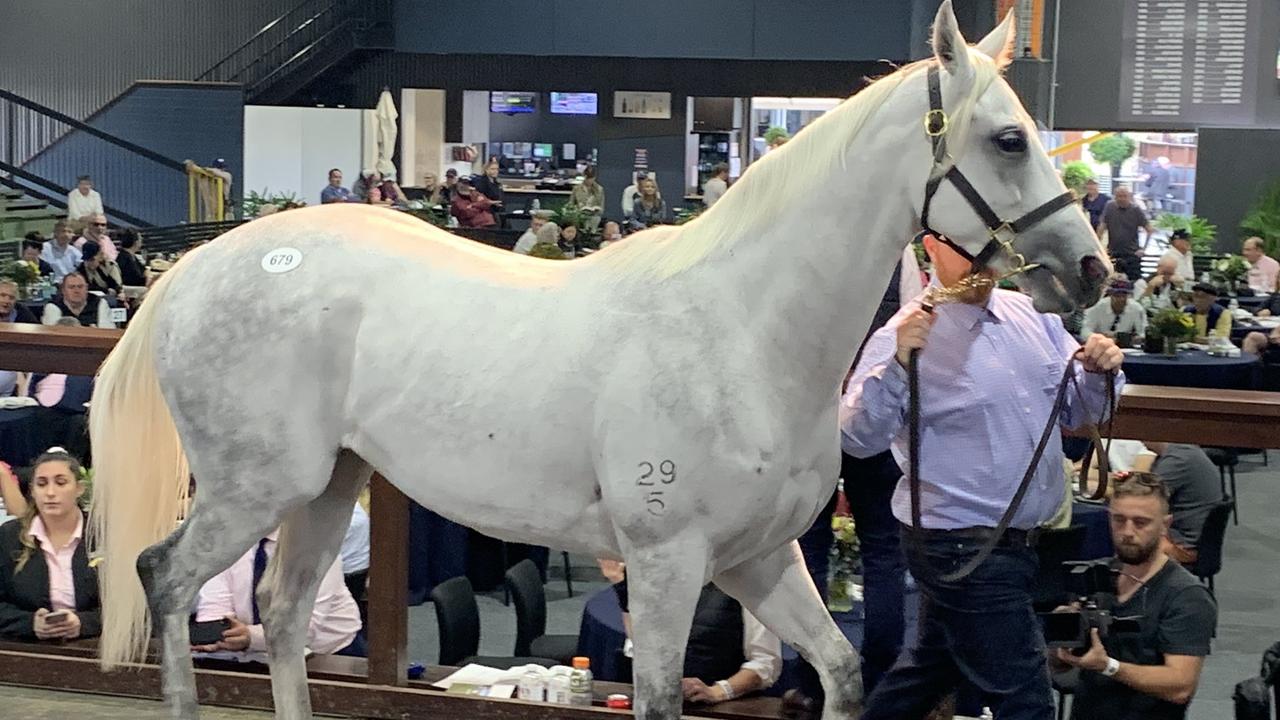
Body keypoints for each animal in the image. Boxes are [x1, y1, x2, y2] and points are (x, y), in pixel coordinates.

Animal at [90, 2, 1111, 712]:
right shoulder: (667, 564)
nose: (1091, 269)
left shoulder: (759, 559)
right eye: (1008, 138)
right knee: (166, 579)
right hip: (255, 488)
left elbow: (841, 669)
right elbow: (660, 699)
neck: (742, 332)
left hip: (327, 486)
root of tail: (196, 270)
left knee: (285, 614)